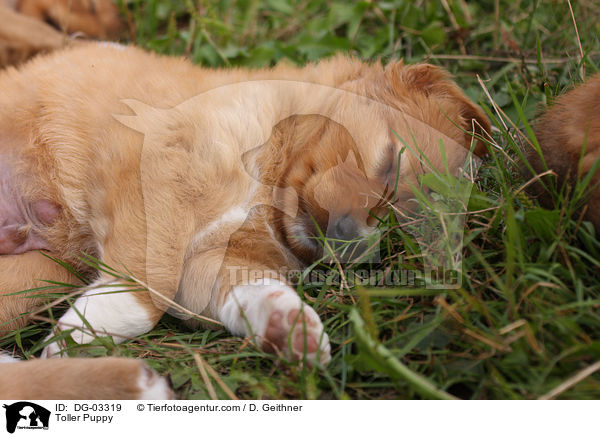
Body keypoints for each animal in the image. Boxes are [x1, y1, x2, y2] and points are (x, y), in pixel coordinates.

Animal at [0, 44, 488, 398]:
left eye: (398, 238)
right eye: (389, 165)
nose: (348, 240)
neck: (268, 189)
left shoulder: (215, 263)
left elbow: (253, 289)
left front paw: (291, 327)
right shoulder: (157, 160)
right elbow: (148, 281)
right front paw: (76, 338)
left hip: (30, 279)